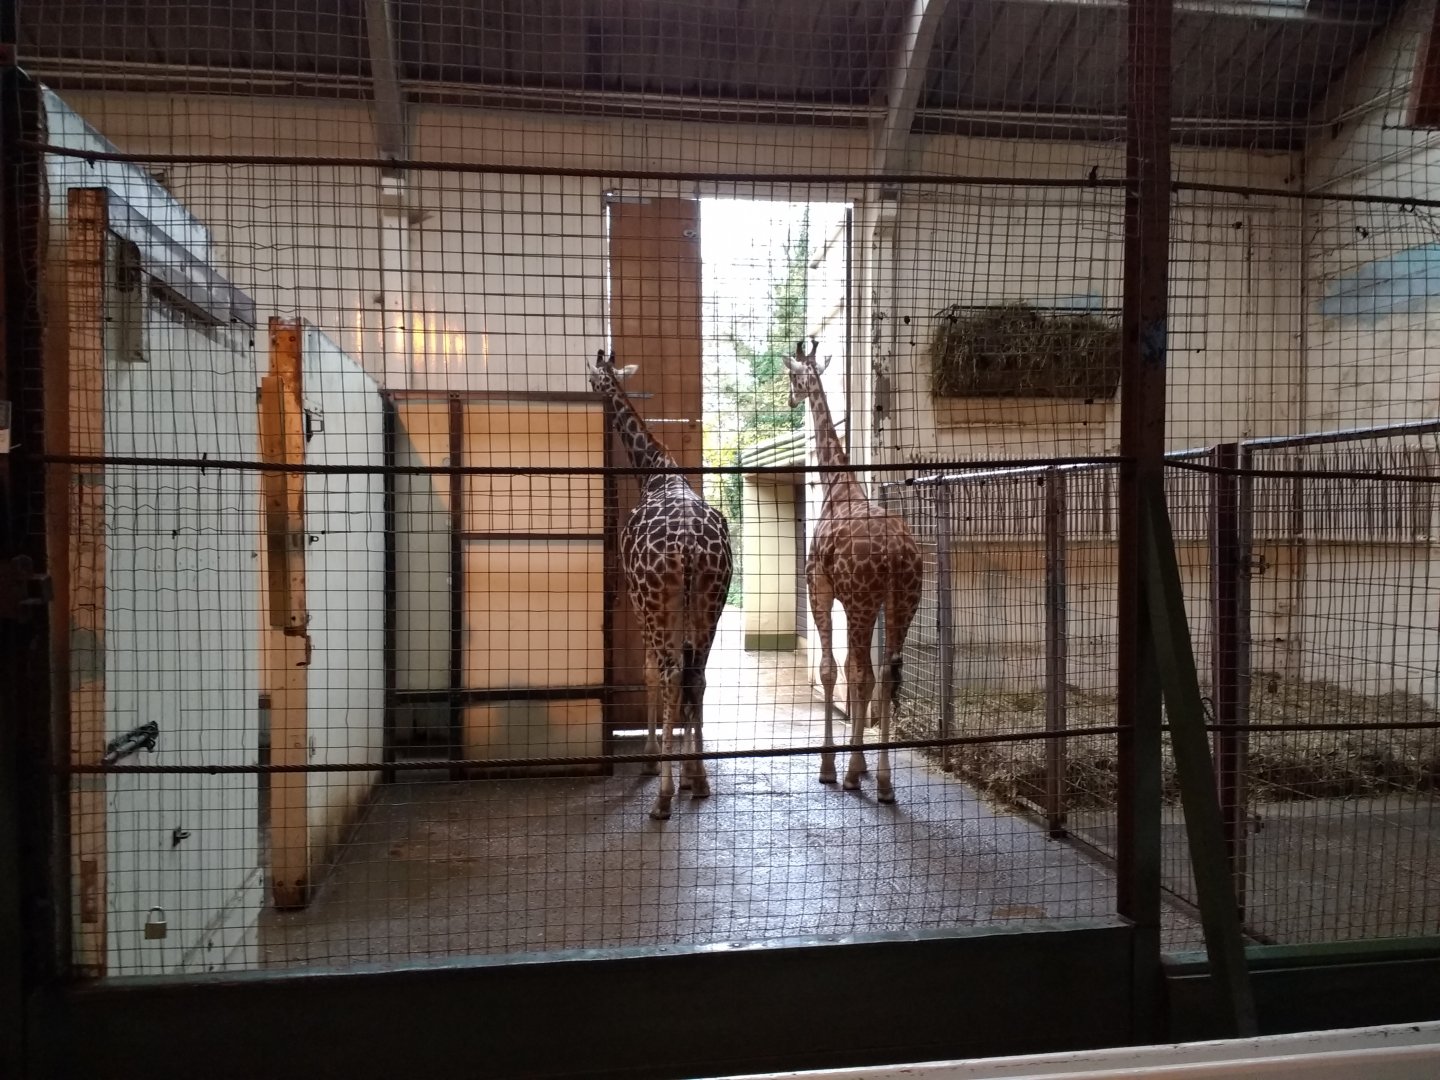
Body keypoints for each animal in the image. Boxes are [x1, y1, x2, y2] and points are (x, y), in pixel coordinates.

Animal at [588, 349, 734, 821]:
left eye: (595, 378)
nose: (591, 386)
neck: (654, 472)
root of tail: (689, 545)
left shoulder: (638, 598)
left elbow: (651, 674)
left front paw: (654, 759)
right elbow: (688, 680)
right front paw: (690, 772)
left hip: (657, 600)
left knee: (671, 674)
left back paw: (663, 797)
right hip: (712, 599)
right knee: (697, 676)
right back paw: (700, 782)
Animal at [785, 339, 923, 803]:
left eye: (792, 377)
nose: (790, 398)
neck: (837, 487)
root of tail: (899, 552)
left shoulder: (821, 587)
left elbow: (833, 670)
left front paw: (831, 766)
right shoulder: (860, 600)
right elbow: (853, 670)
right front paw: (858, 763)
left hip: (865, 603)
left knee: (865, 674)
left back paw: (857, 776)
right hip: (903, 601)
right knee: (885, 674)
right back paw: (881, 781)